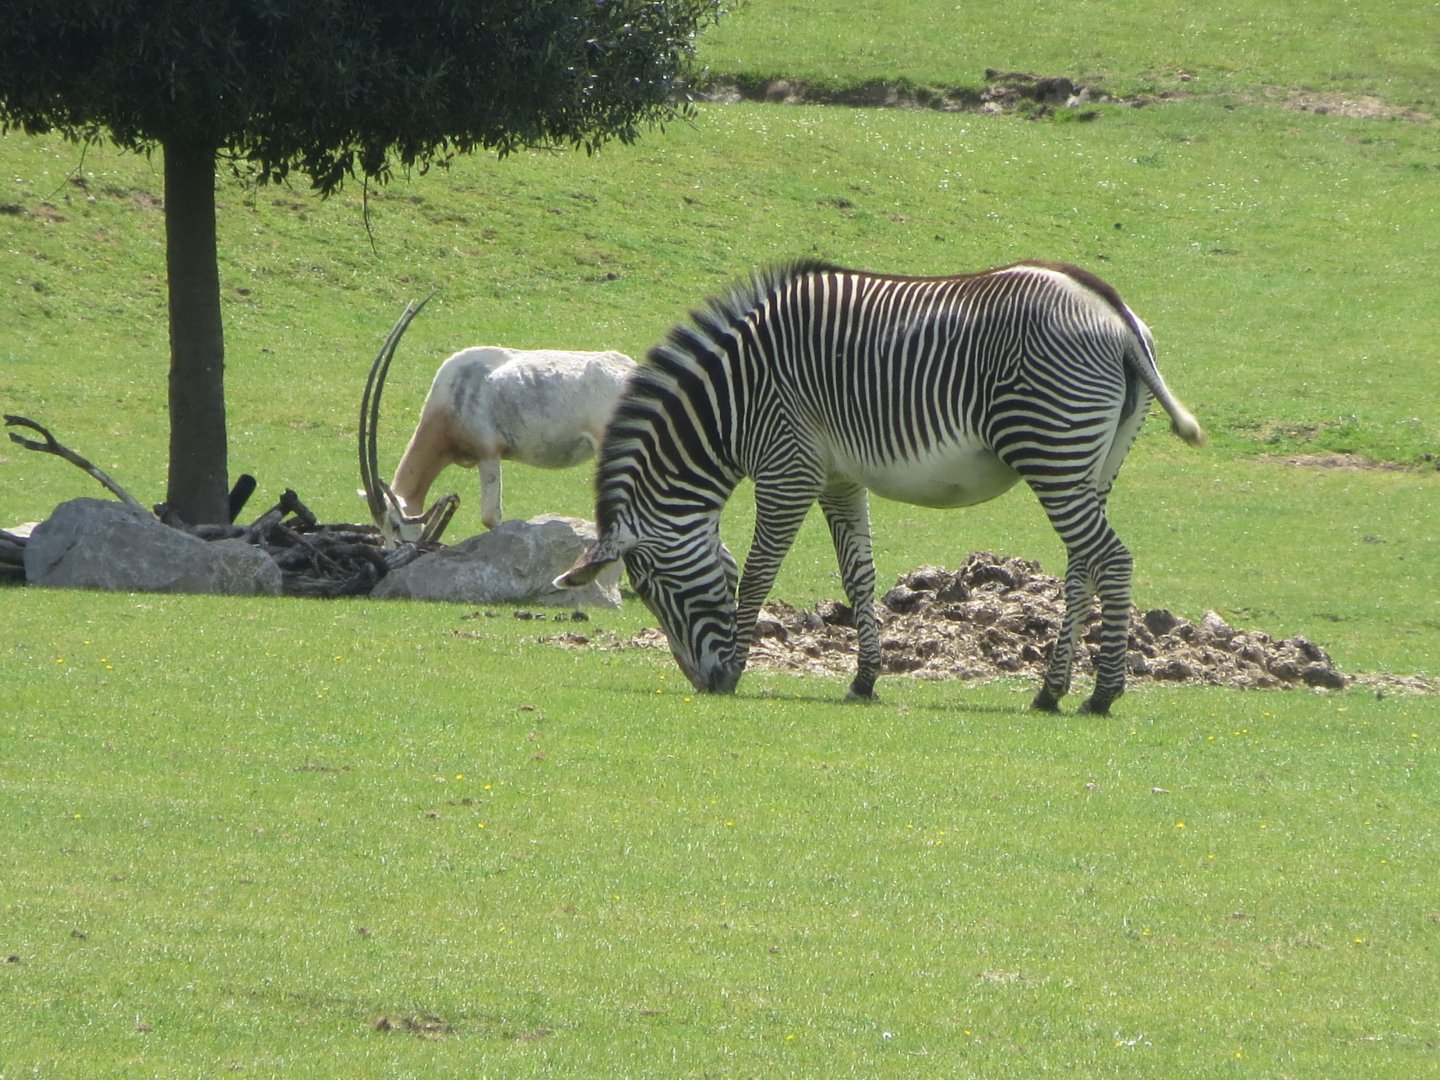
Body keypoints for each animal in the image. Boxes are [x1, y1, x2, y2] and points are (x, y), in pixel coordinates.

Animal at [556, 260, 1205, 715]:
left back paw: (1102, 694)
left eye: (651, 587)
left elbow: (760, 572)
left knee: (1111, 559)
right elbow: (858, 576)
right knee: (1082, 566)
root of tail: (1116, 314)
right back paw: (1051, 691)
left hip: (1051, 450)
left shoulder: (788, 469)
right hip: (1094, 464)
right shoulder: (837, 477)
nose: (706, 683)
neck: (731, 402)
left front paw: (740, 666)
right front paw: (864, 679)